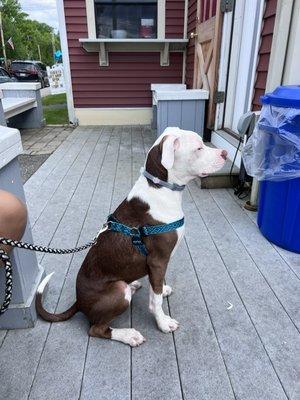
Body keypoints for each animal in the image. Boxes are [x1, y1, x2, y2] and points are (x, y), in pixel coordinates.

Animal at [35, 126, 227, 346]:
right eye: (198, 147)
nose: (225, 153)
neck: (160, 187)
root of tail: (79, 302)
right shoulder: (158, 260)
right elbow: (155, 300)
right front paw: (163, 323)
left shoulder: (156, 266)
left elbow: (156, 288)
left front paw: (162, 289)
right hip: (118, 290)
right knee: (96, 329)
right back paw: (129, 335)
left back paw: (133, 285)